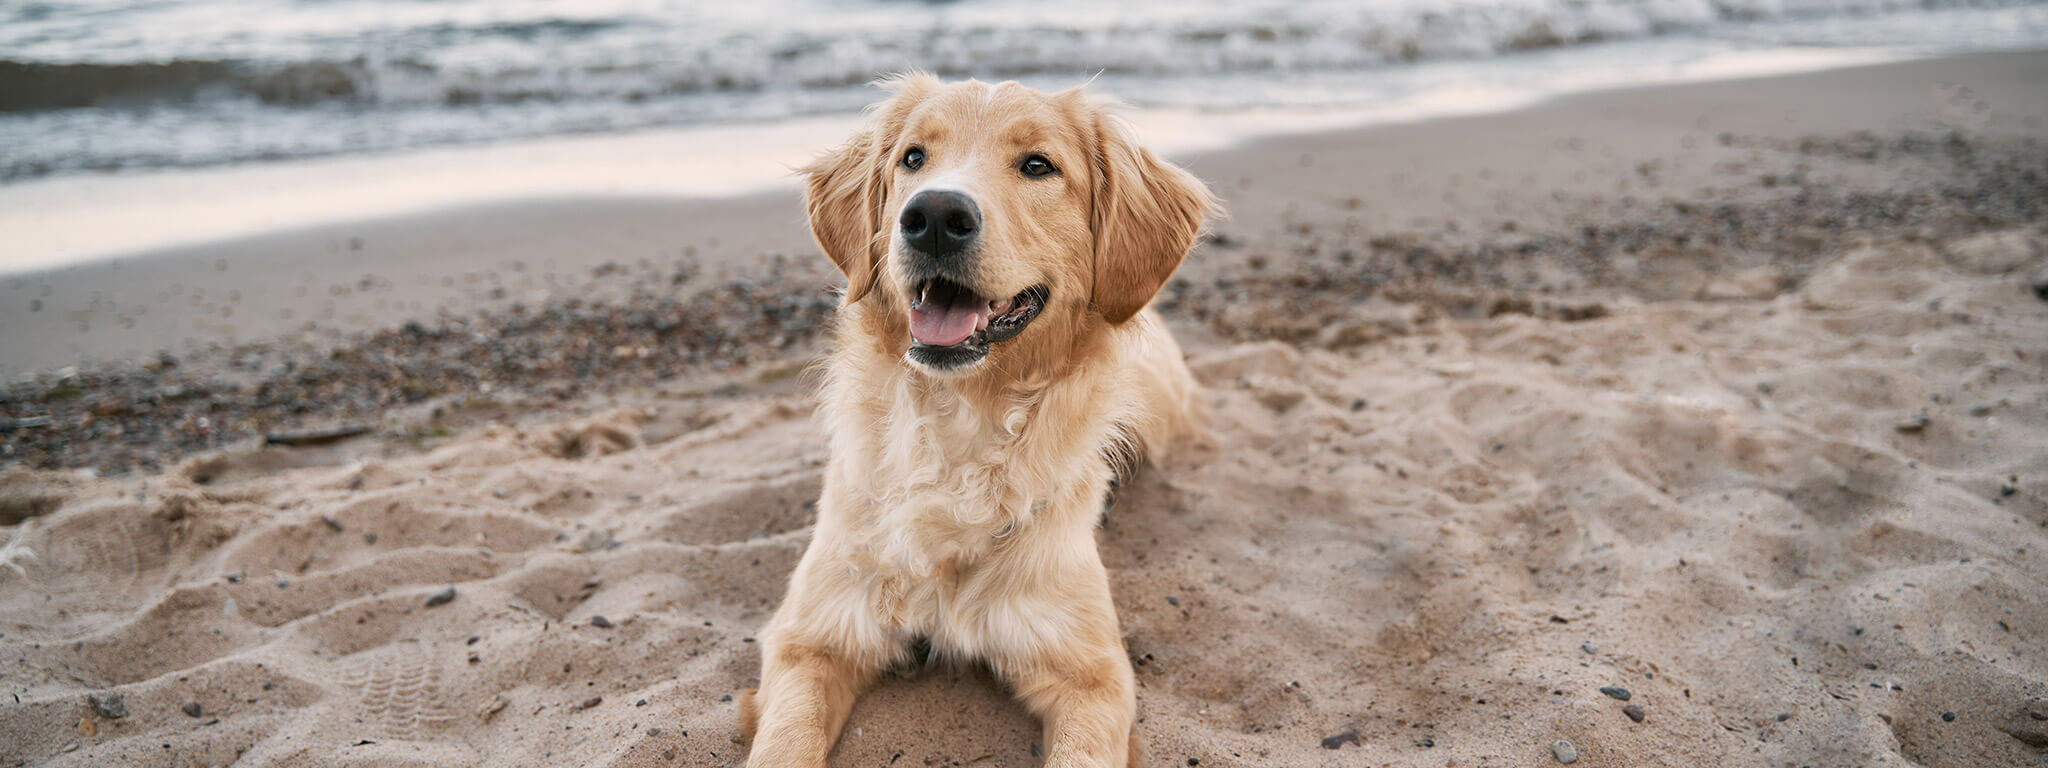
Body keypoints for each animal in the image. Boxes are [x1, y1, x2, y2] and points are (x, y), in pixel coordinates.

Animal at [741, 73, 1212, 768]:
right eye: (913, 157)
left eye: (1038, 166)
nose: (934, 217)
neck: (956, 421)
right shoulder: (811, 638)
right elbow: (784, 744)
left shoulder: (1092, 675)